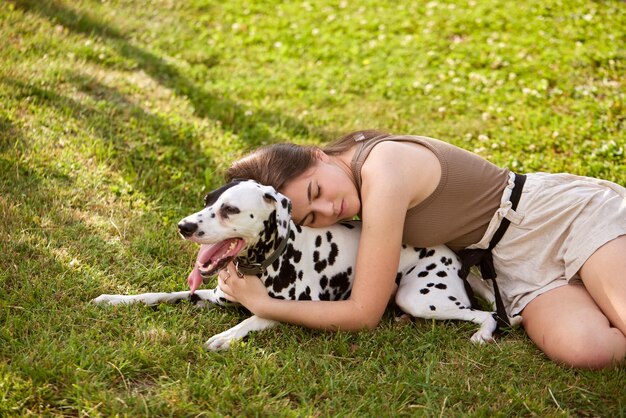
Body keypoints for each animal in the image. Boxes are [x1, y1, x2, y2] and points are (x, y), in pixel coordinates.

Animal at [92, 180, 520, 350]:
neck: (273, 257)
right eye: (208, 200)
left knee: (488, 315)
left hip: (421, 297)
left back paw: (482, 335)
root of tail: (455, 255)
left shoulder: (293, 309)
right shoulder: (212, 296)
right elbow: (160, 293)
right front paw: (116, 299)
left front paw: (226, 337)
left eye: (230, 209)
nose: (184, 226)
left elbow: (252, 318)